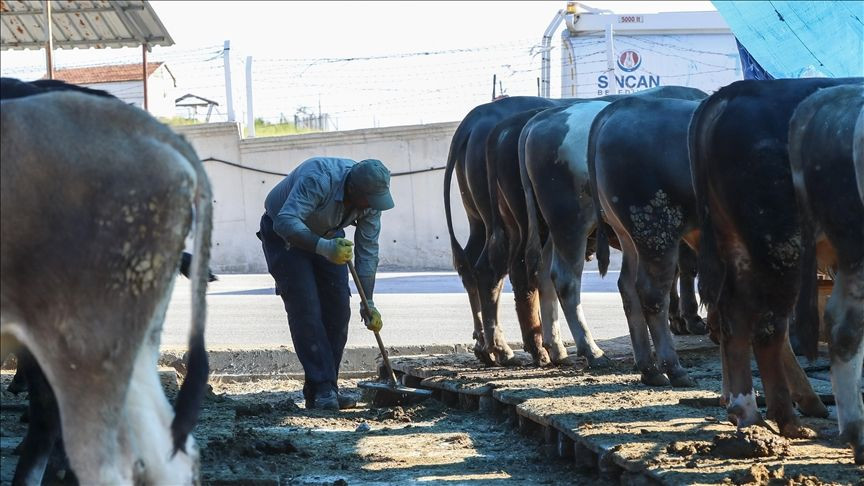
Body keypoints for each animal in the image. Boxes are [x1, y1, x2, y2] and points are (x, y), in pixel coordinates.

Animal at [520, 86, 708, 368]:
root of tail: (547, 117)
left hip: (559, 227)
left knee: (544, 272)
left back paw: (557, 348)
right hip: (570, 221)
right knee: (565, 279)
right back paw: (591, 351)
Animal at [688, 78, 856, 442]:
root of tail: (734, 91)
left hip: (738, 246)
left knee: (735, 318)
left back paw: (748, 413)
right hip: (781, 243)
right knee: (768, 329)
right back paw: (787, 419)